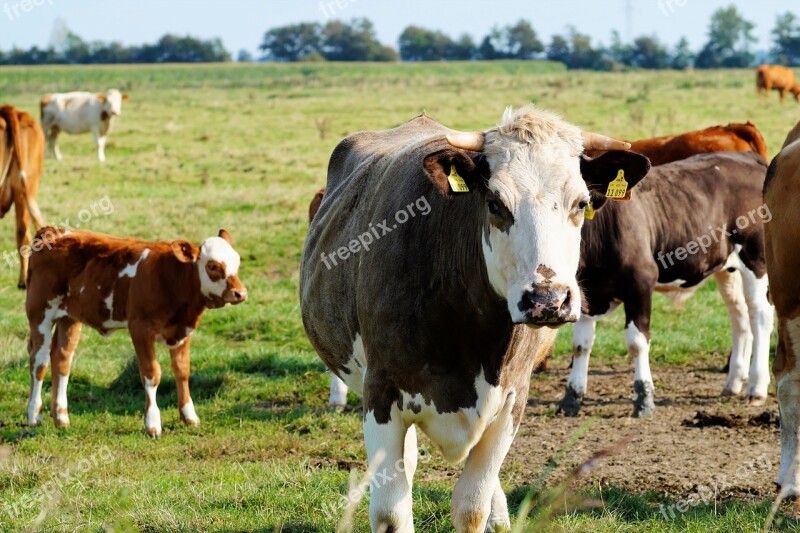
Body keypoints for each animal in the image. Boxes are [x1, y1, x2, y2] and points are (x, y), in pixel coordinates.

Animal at [25, 227, 247, 434]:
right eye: (213, 266)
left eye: (237, 262)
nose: (240, 293)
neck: (170, 278)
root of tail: (52, 231)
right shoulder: (140, 329)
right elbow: (151, 374)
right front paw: (152, 423)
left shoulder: (183, 330)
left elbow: (182, 371)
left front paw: (189, 416)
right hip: (40, 313)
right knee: (39, 361)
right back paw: (34, 415)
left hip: (69, 318)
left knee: (62, 359)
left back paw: (61, 417)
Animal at [300, 108, 648, 532]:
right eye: (496, 203)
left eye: (580, 203)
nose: (547, 299)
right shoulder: (380, 396)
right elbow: (390, 511)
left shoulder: (511, 401)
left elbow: (472, 506)